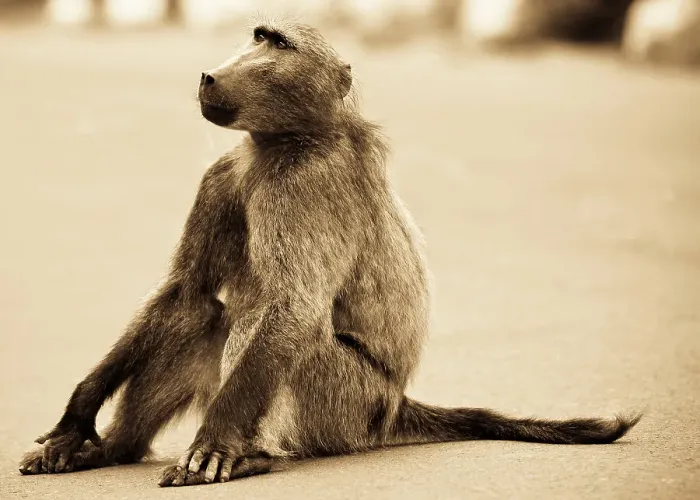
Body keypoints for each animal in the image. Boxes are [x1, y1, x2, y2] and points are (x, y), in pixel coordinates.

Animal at [19, 19, 641, 487]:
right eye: (258, 35)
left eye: (277, 44)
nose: (210, 74)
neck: (285, 143)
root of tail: (394, 405)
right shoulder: (220, 175)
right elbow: (184, 289)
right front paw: (77, 416)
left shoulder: (304, 188)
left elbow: (294, 307)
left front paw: (215, 443)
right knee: (204, 316)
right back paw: (110, 450)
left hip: (346, 405)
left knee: (270, 325)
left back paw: (253, 456)